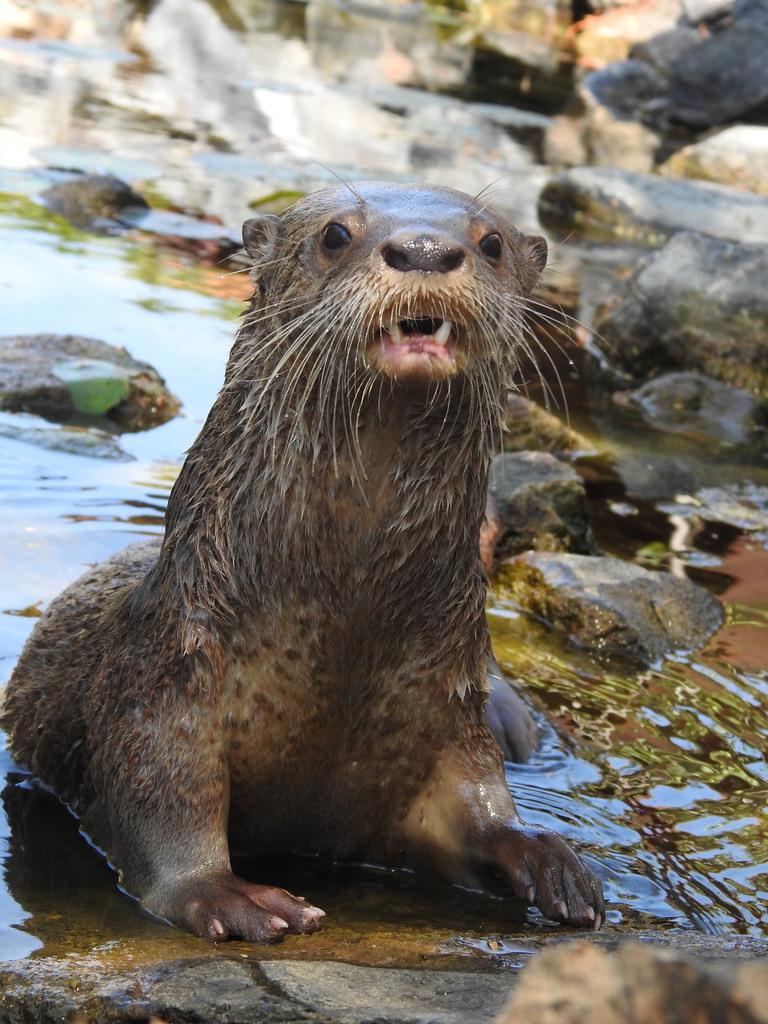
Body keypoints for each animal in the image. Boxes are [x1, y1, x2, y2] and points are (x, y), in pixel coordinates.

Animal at [2, 182, 604, 942]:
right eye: (335, 234)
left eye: (492, 242)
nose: (426, 248)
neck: (342, 630)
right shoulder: (170, 675)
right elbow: (159, 799)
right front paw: (230, 897)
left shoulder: (446, 710)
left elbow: (477, 808)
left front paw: (548, 860)